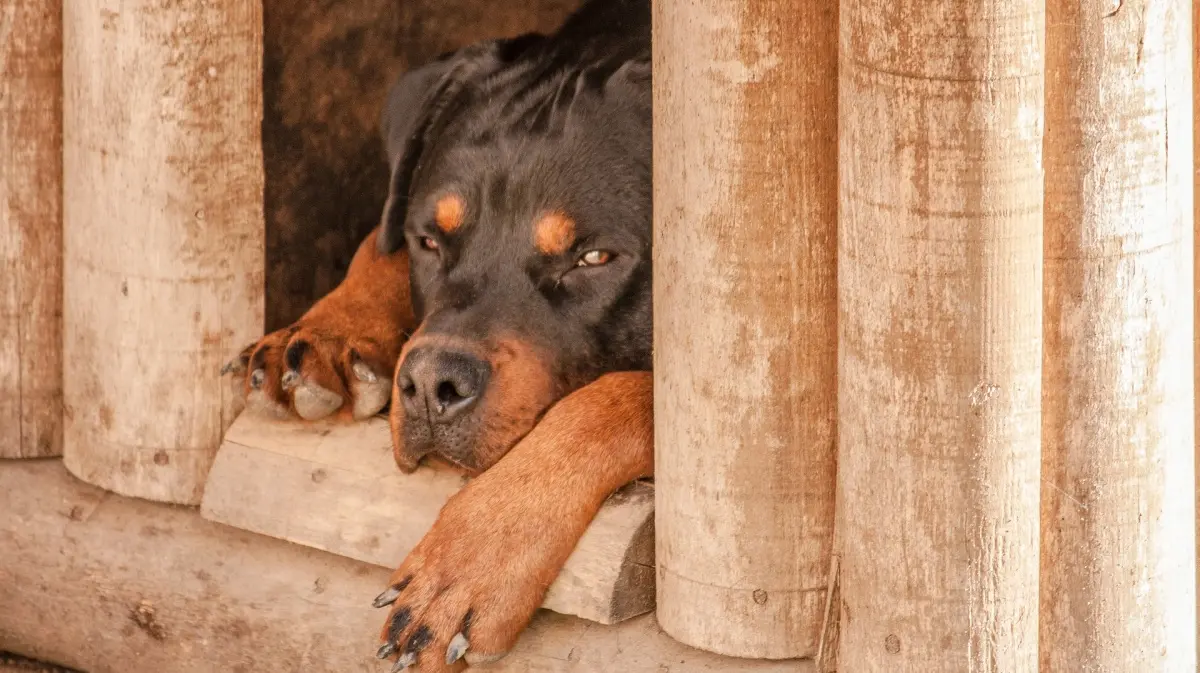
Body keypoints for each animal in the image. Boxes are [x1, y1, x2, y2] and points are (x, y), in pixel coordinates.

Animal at [225, 0, 657, 667]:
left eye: (594, 258)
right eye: (429, 239)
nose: (431, 384)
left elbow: (617, 398)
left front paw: (471, 559)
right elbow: (377, 243)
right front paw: (325, 331)